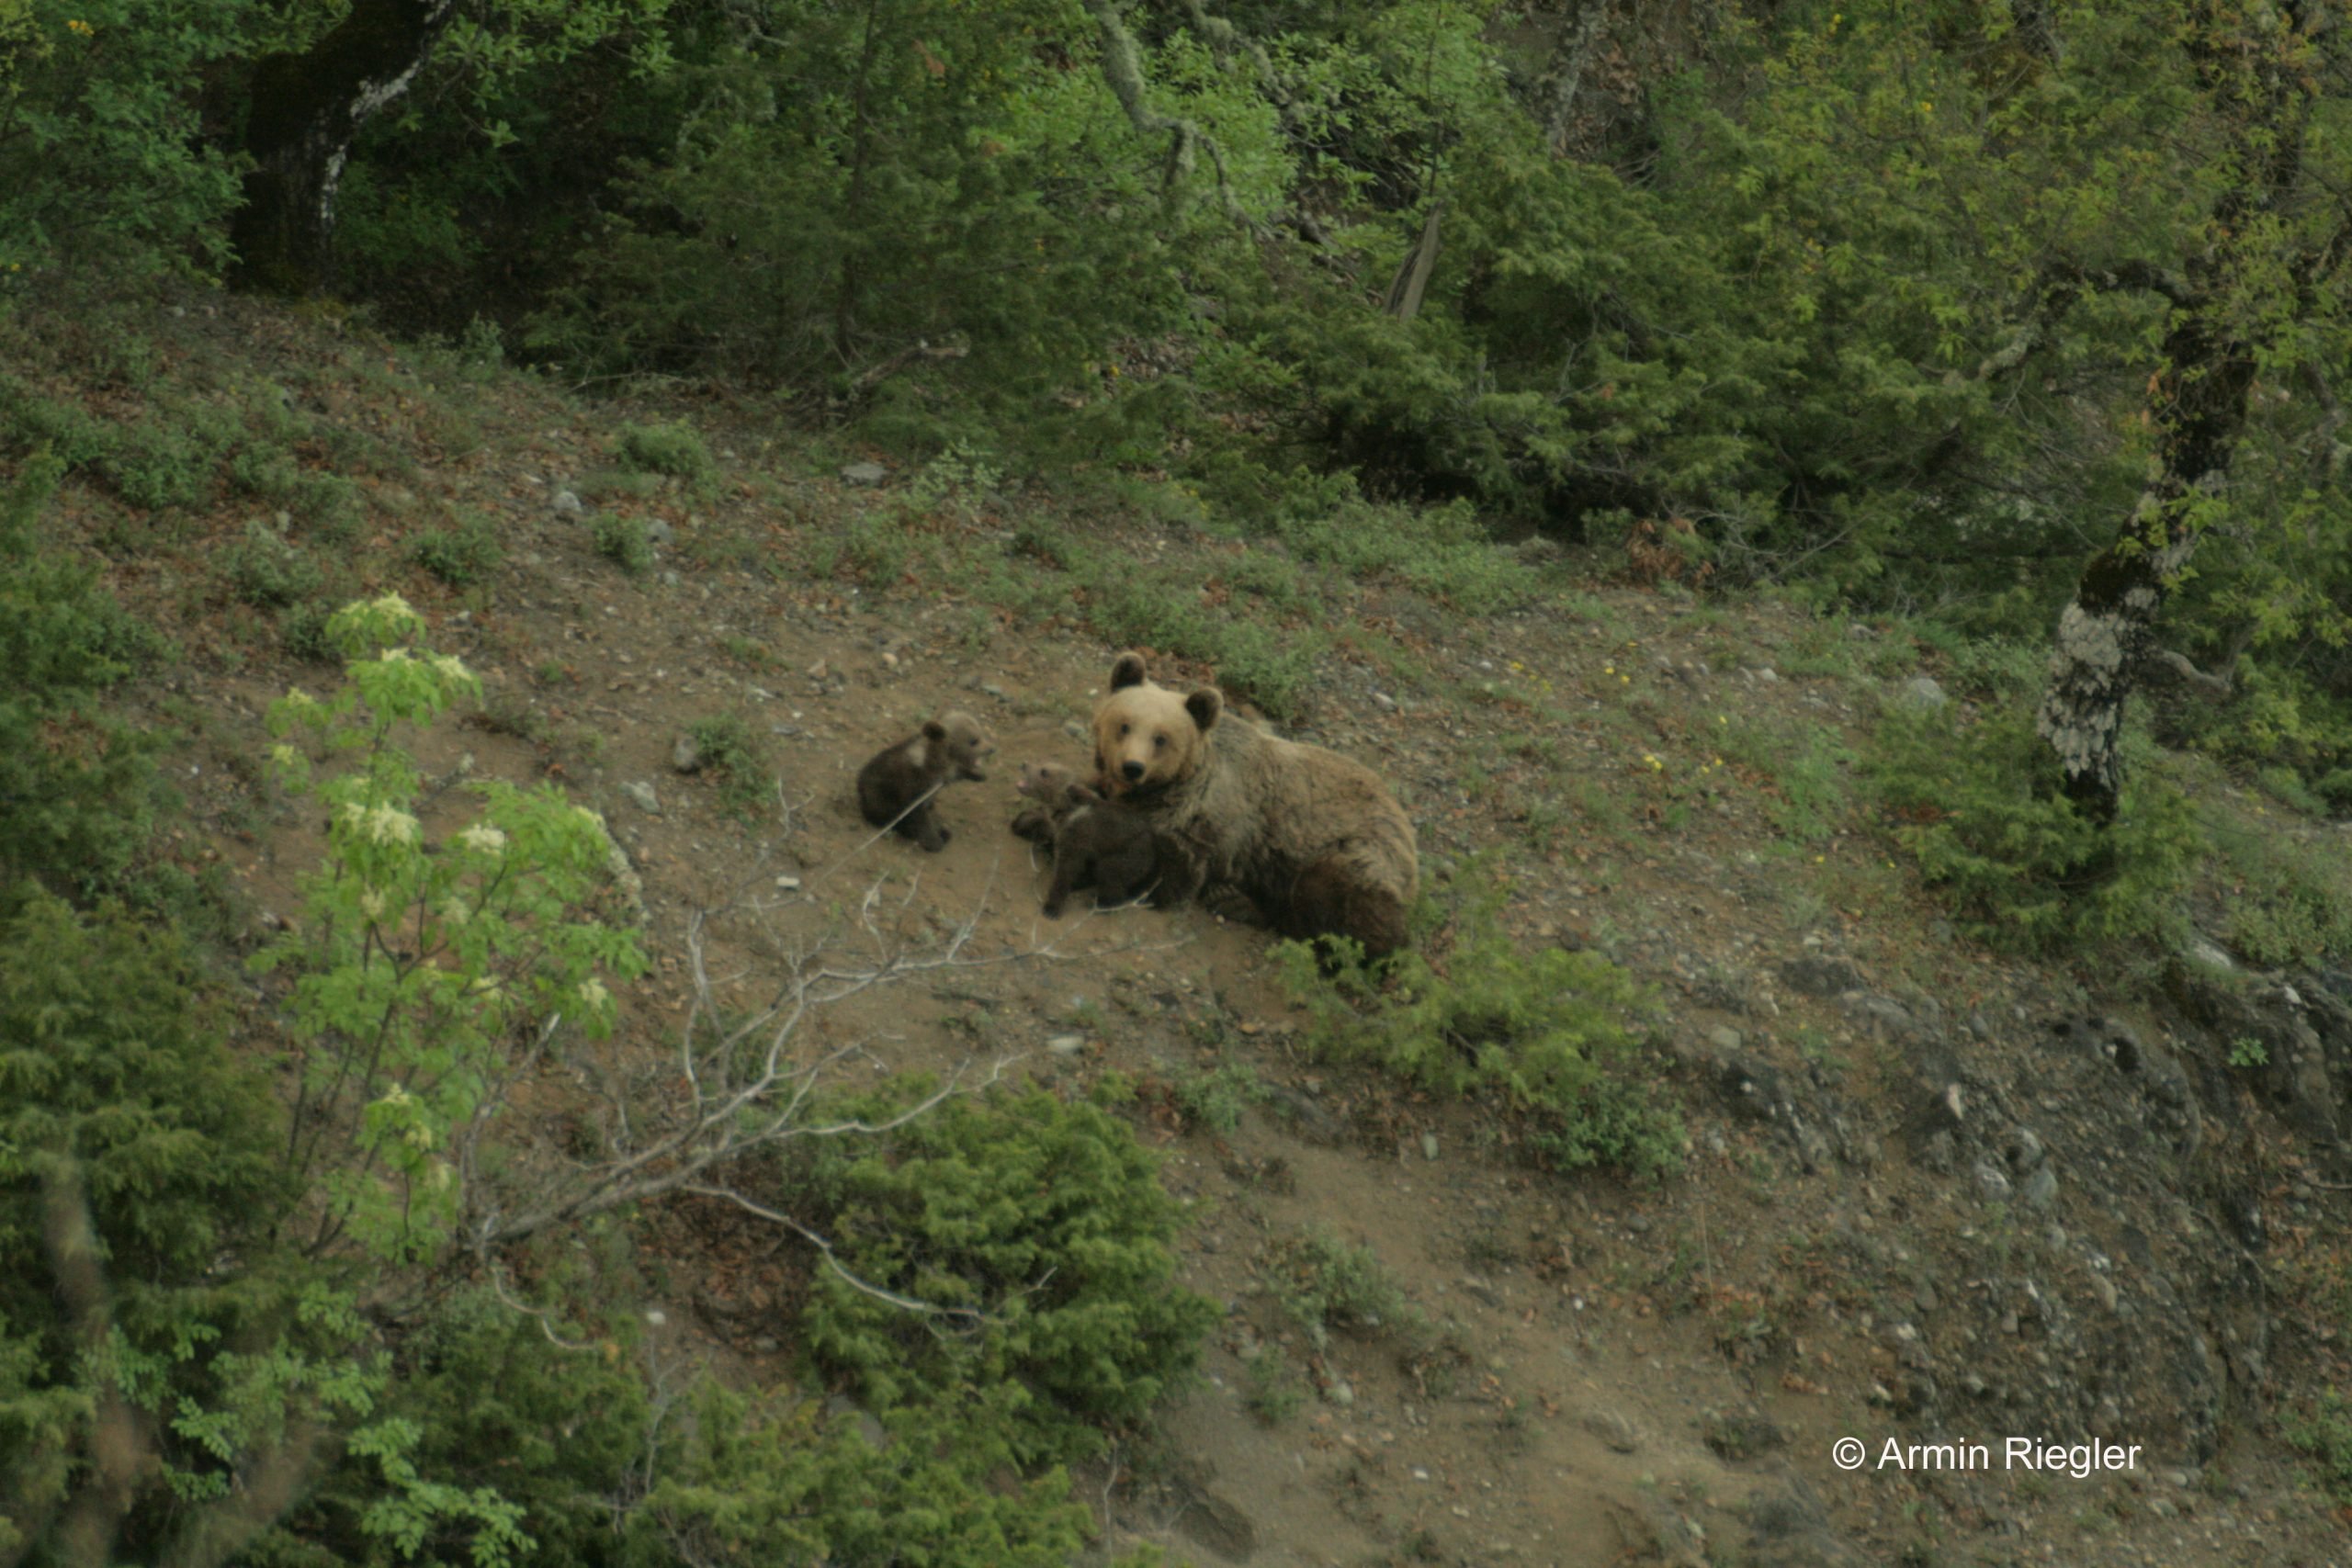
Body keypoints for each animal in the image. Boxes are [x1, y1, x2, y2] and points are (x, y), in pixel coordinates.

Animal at [865, 709, 992, 851]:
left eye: (982, 733)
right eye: (973, 741)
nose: (992, 749)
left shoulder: (942, 778)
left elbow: (957, 774)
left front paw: (978, 775)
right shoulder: (914, 787)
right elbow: (919, 818)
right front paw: (935, 842)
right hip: (880, 798)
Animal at [1011, 761, 1157, 921]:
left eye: (1044, 772)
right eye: (1042, 763)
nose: (1024, 764)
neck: (1064, 810)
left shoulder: (1077, 837)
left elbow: (1065, 871)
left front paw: (1051, 908)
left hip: (1126, 856)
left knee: (1110, 877)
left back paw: (1100, 904)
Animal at [1086, 649, 1411, 959]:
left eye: (1161, 738)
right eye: (1124, 725)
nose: (1132, 767)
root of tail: (1405, 823)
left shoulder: (1208, 822)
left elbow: (1178, 869)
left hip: (1349, 852)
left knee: (1329, 904)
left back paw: (1235, 901)